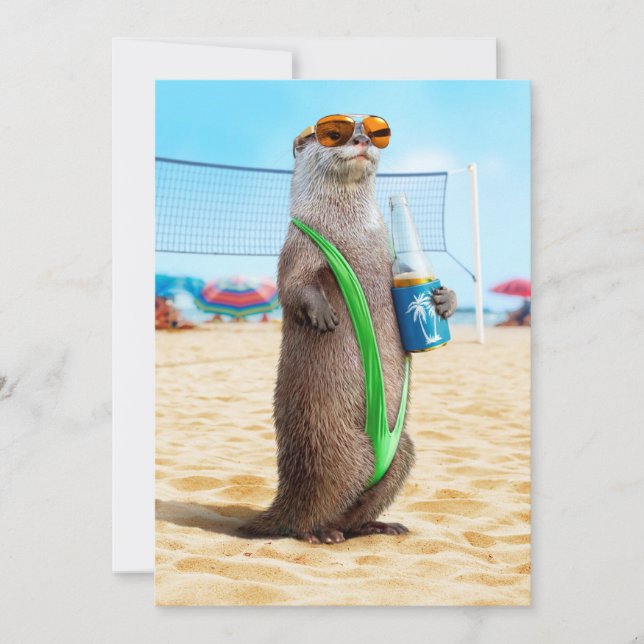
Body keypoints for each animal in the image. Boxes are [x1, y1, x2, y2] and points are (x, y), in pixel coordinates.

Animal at [241, 119, 456, 544]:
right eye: (333, 132)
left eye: (373, 132)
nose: (360, 139)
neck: (352, 234)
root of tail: (284, 497)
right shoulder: (298, 245)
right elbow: (294, 287)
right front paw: (323, 313)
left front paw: (445, 300)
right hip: (338, 452)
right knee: (309, 511)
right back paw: (319, 533)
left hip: (402, 451)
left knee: (359, 506)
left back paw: (378, 525)